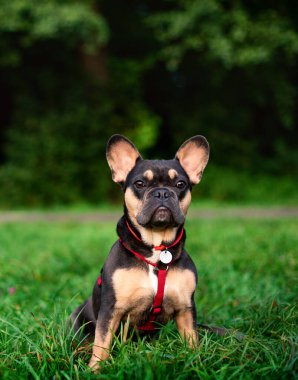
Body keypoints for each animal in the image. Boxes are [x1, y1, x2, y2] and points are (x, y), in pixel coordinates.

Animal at [70, 134, 208, 372]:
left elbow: (193, 341)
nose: (162, 192)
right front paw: (95, 369)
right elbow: (101, 342)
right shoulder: (111, 309)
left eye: (180, 184)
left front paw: (197, 365)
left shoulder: (186, 308)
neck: (156, 249)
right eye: (140, 184)